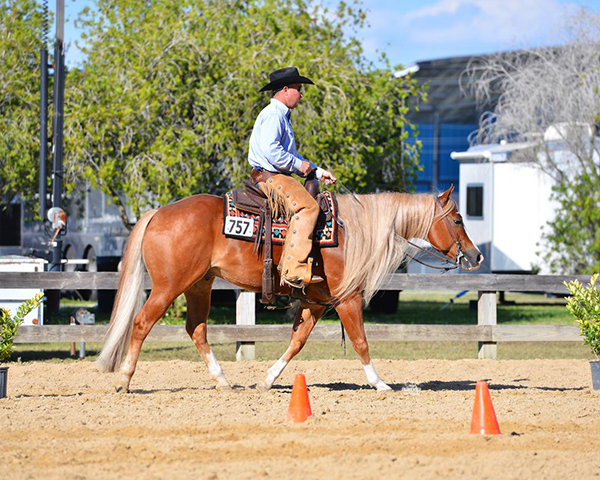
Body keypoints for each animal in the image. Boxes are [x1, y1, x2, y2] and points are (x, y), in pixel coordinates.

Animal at [97, 186, 482, 392]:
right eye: (458, 219)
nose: (476, 255)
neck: (353, 232)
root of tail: (159, 212)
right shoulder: (347, 298)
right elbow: (361, 341)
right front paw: (380, 384)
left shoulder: (317, 302)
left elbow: (297, 342)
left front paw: (267, 380)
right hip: (168, 287)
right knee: (142, 323)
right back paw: (125, 381)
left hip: (199, 285)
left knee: (196, 329)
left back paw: (223, 381)